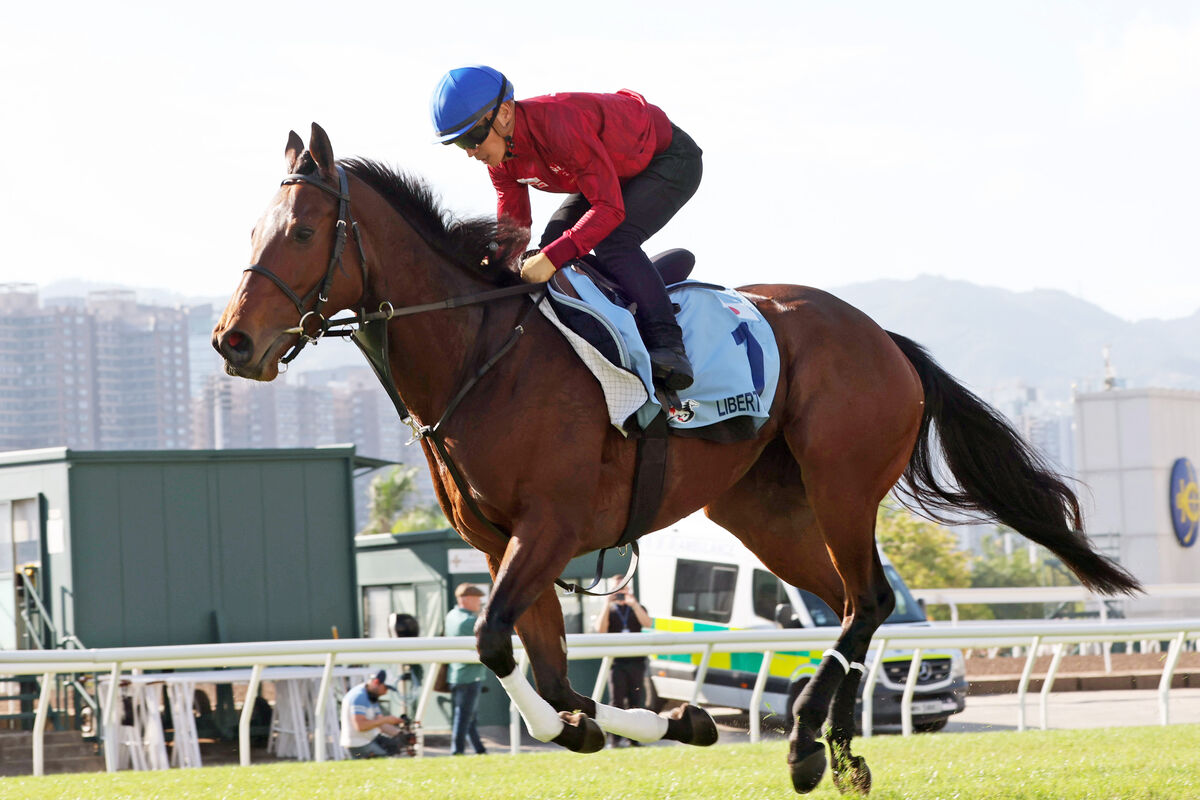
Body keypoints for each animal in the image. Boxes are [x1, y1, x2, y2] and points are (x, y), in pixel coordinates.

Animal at [211, 125, 1137, 796]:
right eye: (251, 231)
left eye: (301, 231)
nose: (232, 342)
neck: (482, 349)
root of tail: (883, 338)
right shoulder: (502, 542)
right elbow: (550, 676)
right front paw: (657, 723)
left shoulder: (551, 527)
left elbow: (496, 646)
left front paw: (655, 723)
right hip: (765, 511)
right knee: (855, 601)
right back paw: (835, 751)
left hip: (840, 482)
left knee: (866, 598)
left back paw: (809, 744)